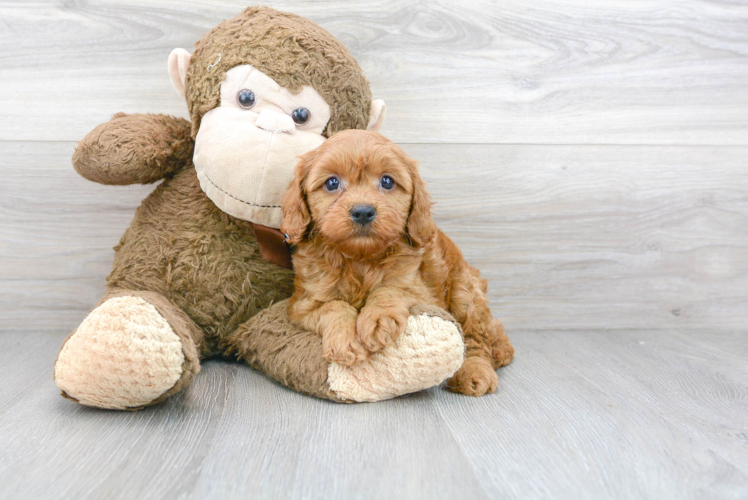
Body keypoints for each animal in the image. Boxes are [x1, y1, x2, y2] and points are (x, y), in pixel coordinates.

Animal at [280, 131, 516, 396]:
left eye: (387, 181)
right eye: (331, 183)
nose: (363, 211)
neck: (360, 259)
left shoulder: (421, 291)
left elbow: (390, 289)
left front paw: (377, 319)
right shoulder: (304, 304)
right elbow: (333, 307)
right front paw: (345, 340)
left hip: (465, 293)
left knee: (477, 338)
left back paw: (477, 370)